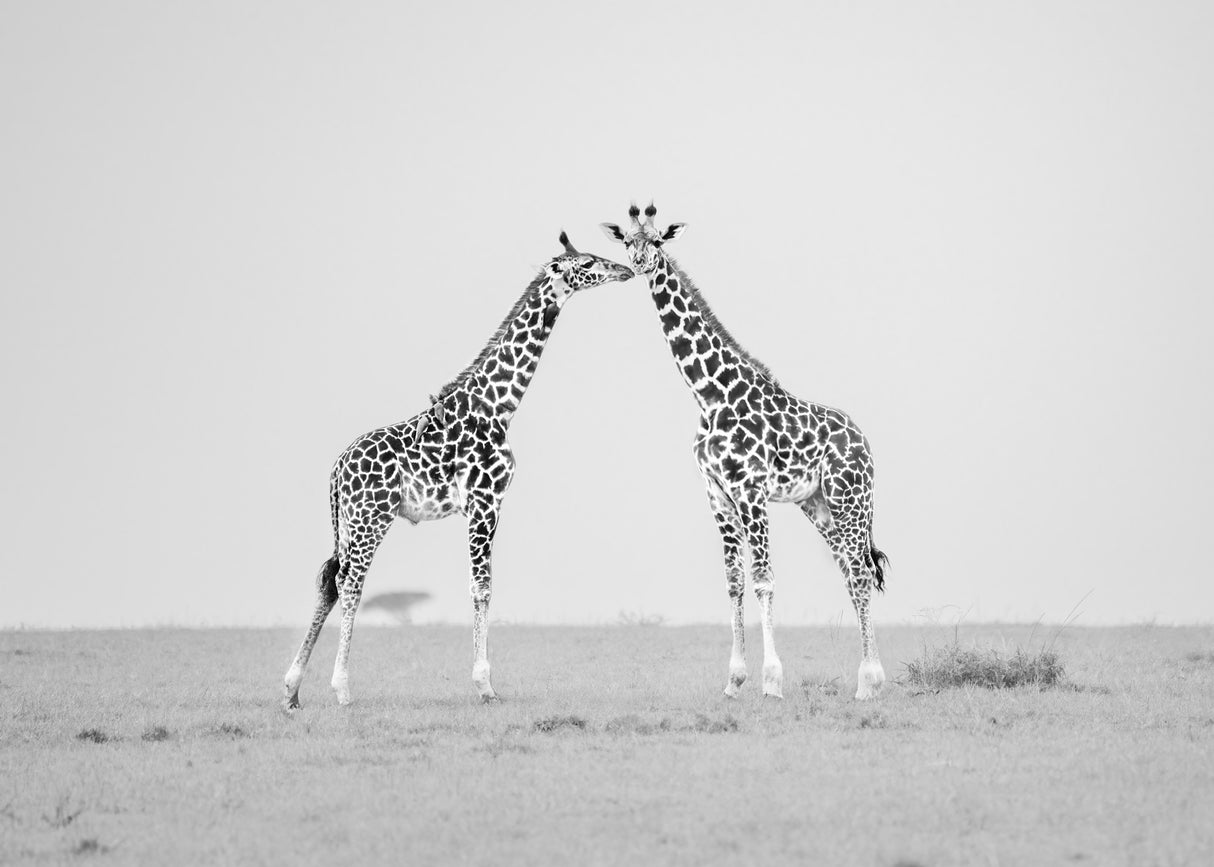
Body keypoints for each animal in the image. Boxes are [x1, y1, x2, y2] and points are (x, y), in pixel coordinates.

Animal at [283, 232, 633, 708]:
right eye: (588, 263)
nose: (626, 269)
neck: (498, 406)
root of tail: (337, 469)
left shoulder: (482, 506)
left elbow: (480, 586)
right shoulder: (486, 502)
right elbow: (482, 587)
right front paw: (486, 685)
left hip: (349, 522)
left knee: (330, 581)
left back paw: (292, 690)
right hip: (372, 517)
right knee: (351, 582)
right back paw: (342, 689)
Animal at [602, 204, 888, 701]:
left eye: (657, 242)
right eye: (627, 242)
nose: (639, 265)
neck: (710, 395)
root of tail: (864, 441)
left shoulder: (750, 489)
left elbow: (764, 580)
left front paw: (772, 681)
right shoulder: (716, 492)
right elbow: (734, 582)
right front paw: (734, 681)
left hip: (851, 498)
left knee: (861, 573)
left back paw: (868, 682)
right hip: (818, 505)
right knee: (850, 574)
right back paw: (871, 677)